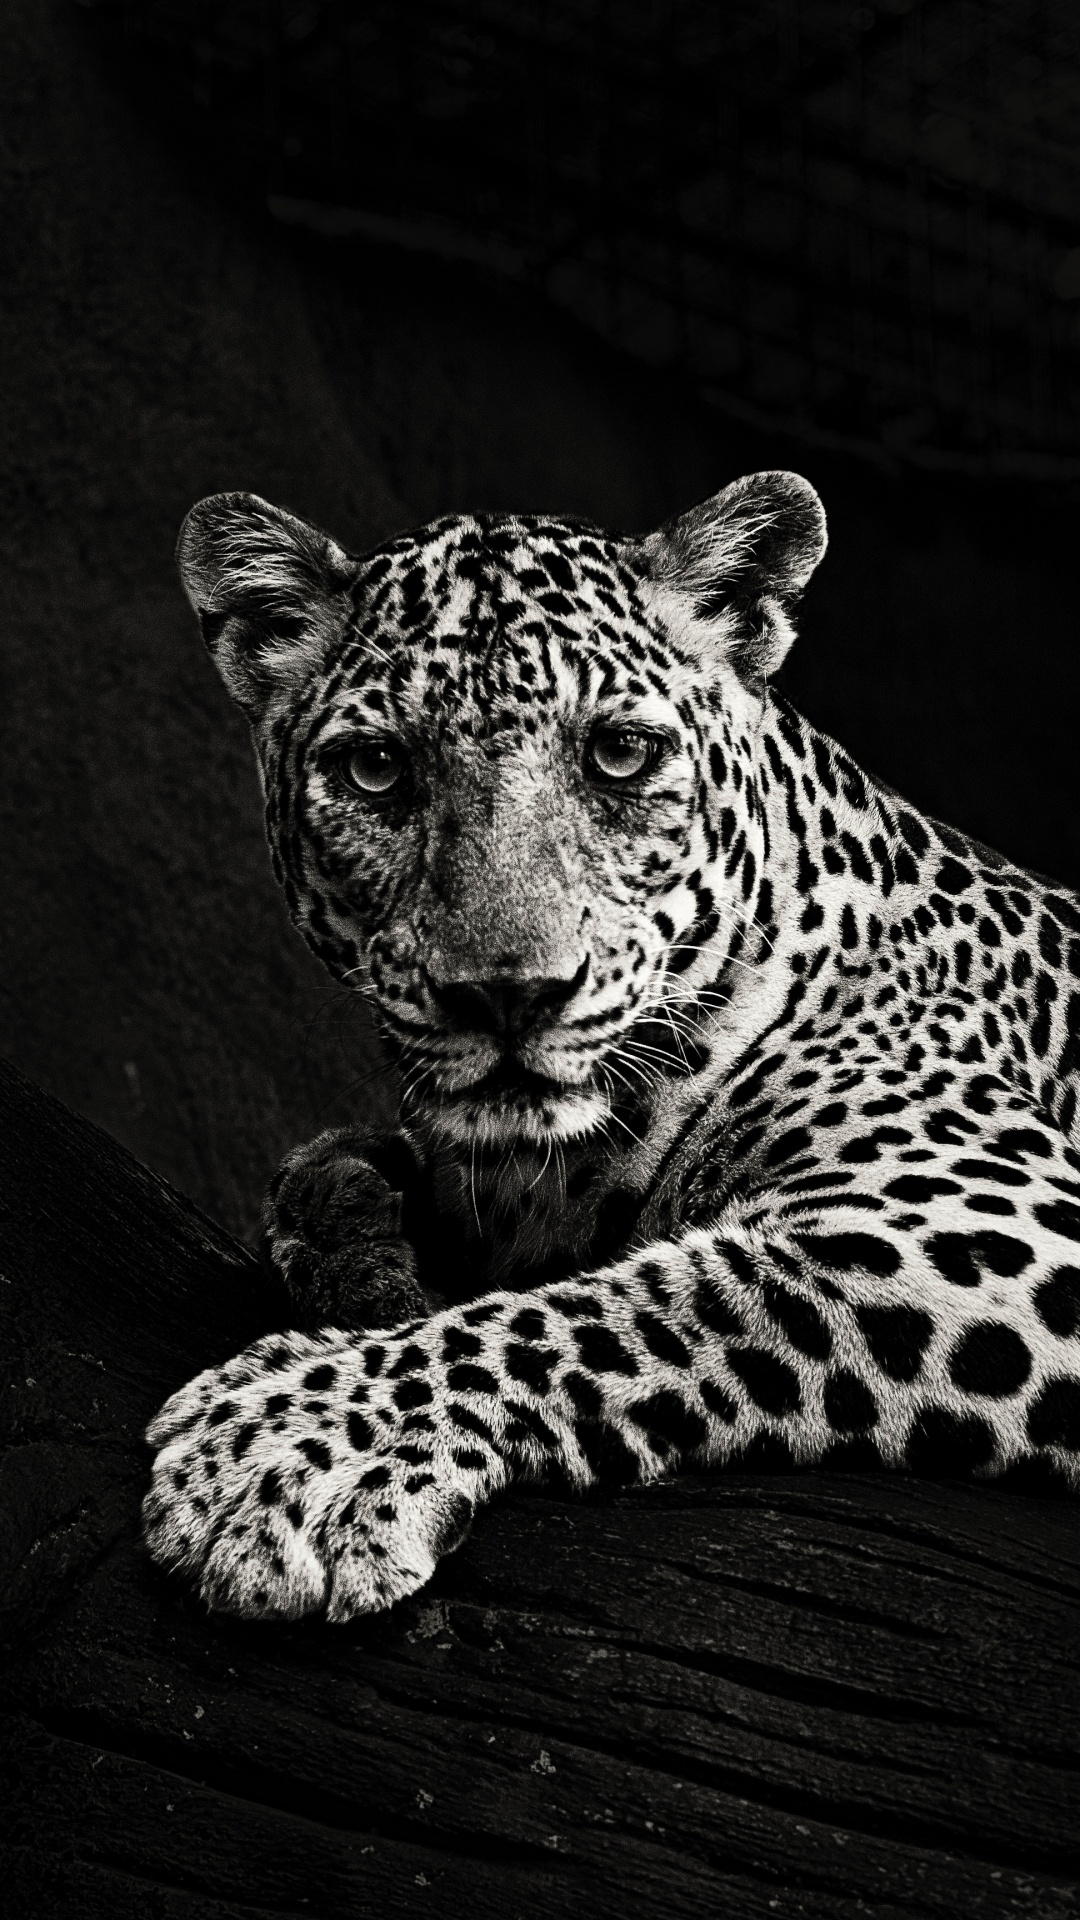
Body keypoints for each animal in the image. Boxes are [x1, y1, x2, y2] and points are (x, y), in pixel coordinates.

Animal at [143, 469, 1080, 1623]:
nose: (507, 996)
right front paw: (357, 1244)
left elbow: (643, 1304)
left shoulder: (999, 1222)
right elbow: (323, 1180)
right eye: (375, 770)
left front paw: (282, 1448)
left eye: (620, 755)